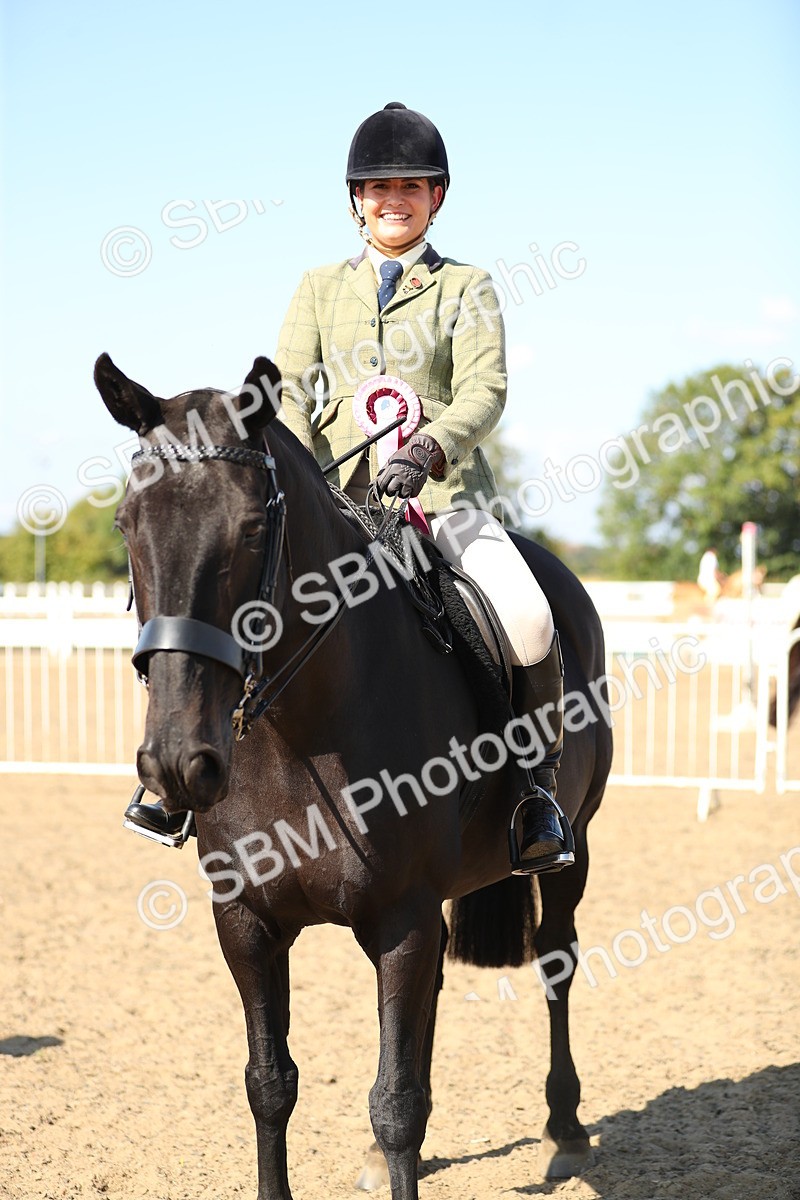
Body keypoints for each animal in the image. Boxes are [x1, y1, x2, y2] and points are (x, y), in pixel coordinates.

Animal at [94, 352, 613, 1200]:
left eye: (251, 529)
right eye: (127, 525)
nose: (176, 761)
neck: (295, 734)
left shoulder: (401, 921)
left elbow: (396, 1103)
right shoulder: (246, 925)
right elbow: (270, 1083)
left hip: (574, 845)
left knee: (557, 959)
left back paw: (565, 1130)